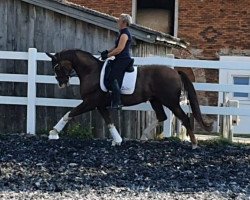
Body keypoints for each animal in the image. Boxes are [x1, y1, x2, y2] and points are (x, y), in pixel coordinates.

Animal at [45, 49, 211, 149]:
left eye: (57, 67)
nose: (61, 83)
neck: (91, 72)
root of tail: (176, 72)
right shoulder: (100, 105)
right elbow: (109, 121)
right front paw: (117, 140)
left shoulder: (90, 102)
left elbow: (69, 113)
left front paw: (53, 132)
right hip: (155, 100)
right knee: (162, 116)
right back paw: (143, 136)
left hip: (171, 102)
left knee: (184, 118)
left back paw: (194, 144)